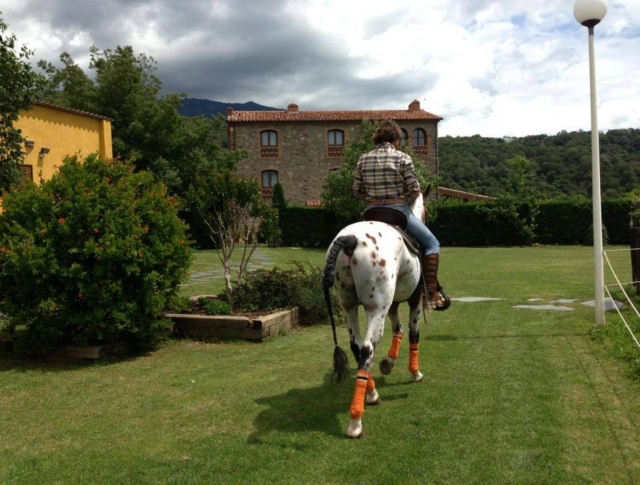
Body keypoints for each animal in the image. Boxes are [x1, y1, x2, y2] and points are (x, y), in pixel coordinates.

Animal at [322, 191, 428, 439]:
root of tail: (350, 240)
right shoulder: (414, 299)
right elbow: (413, 334)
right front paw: (415, 372)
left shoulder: (392, 304)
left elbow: (398, 328)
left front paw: (388, 363)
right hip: (376, 307)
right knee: (368, 347)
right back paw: (356, 421)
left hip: (349, 305)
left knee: (357, 346)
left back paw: (371, 394)